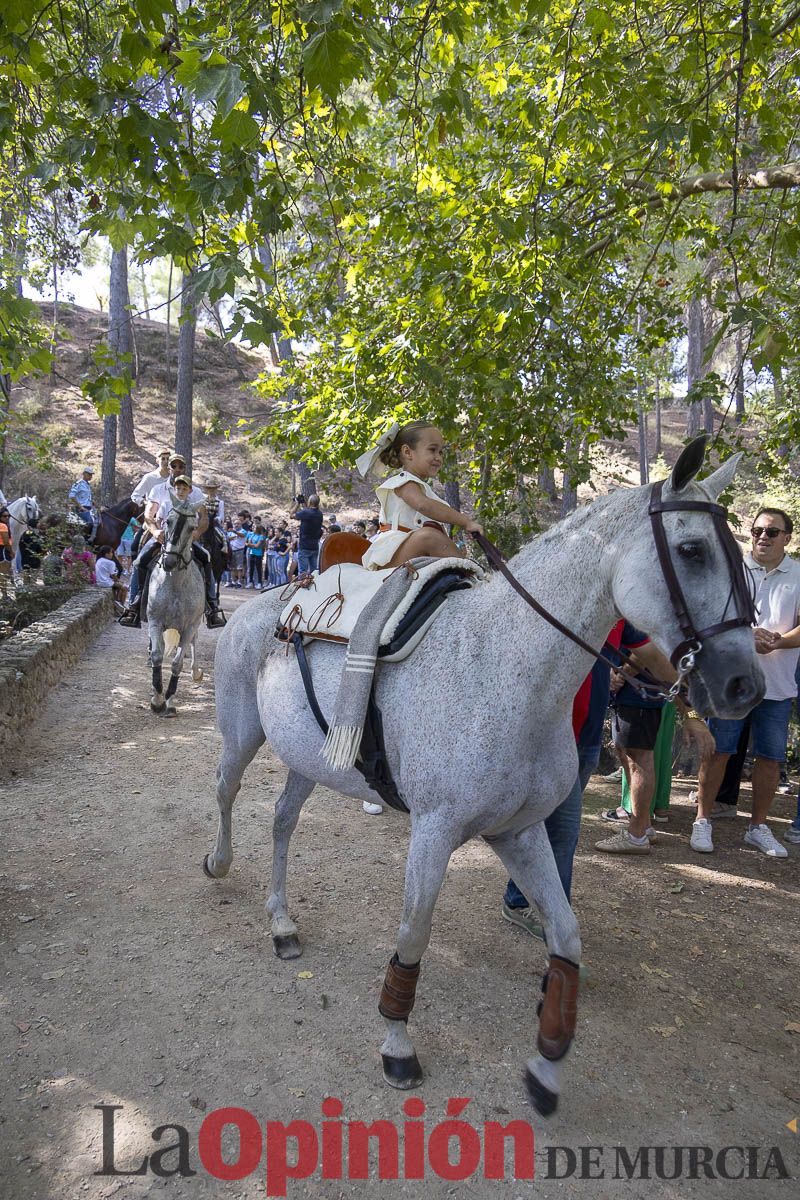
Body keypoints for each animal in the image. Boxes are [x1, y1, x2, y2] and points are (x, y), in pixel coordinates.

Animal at [145, 498, 206, 717]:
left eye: (192, 528)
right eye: (168, 521)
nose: (169, 561)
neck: (175, 583)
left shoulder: (189, 627)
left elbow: (177, 663)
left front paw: (170, 701)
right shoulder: (155, 622)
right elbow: (157, 655)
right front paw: (157, 700)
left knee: (194, 642)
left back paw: (196, 672)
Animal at [204, 438, 764, 1115]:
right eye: (692, 550)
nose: (744, 686)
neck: (504, 666)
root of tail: (274, 600)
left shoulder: (519, 832)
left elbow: (566, 937)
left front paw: (548, 1063)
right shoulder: (435, 831)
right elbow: (413, 936)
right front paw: (397, 1045)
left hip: (309, 760)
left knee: (283, 821)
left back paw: (282, 923)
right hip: (243, 735)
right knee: (227, 790)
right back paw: (219, 863)